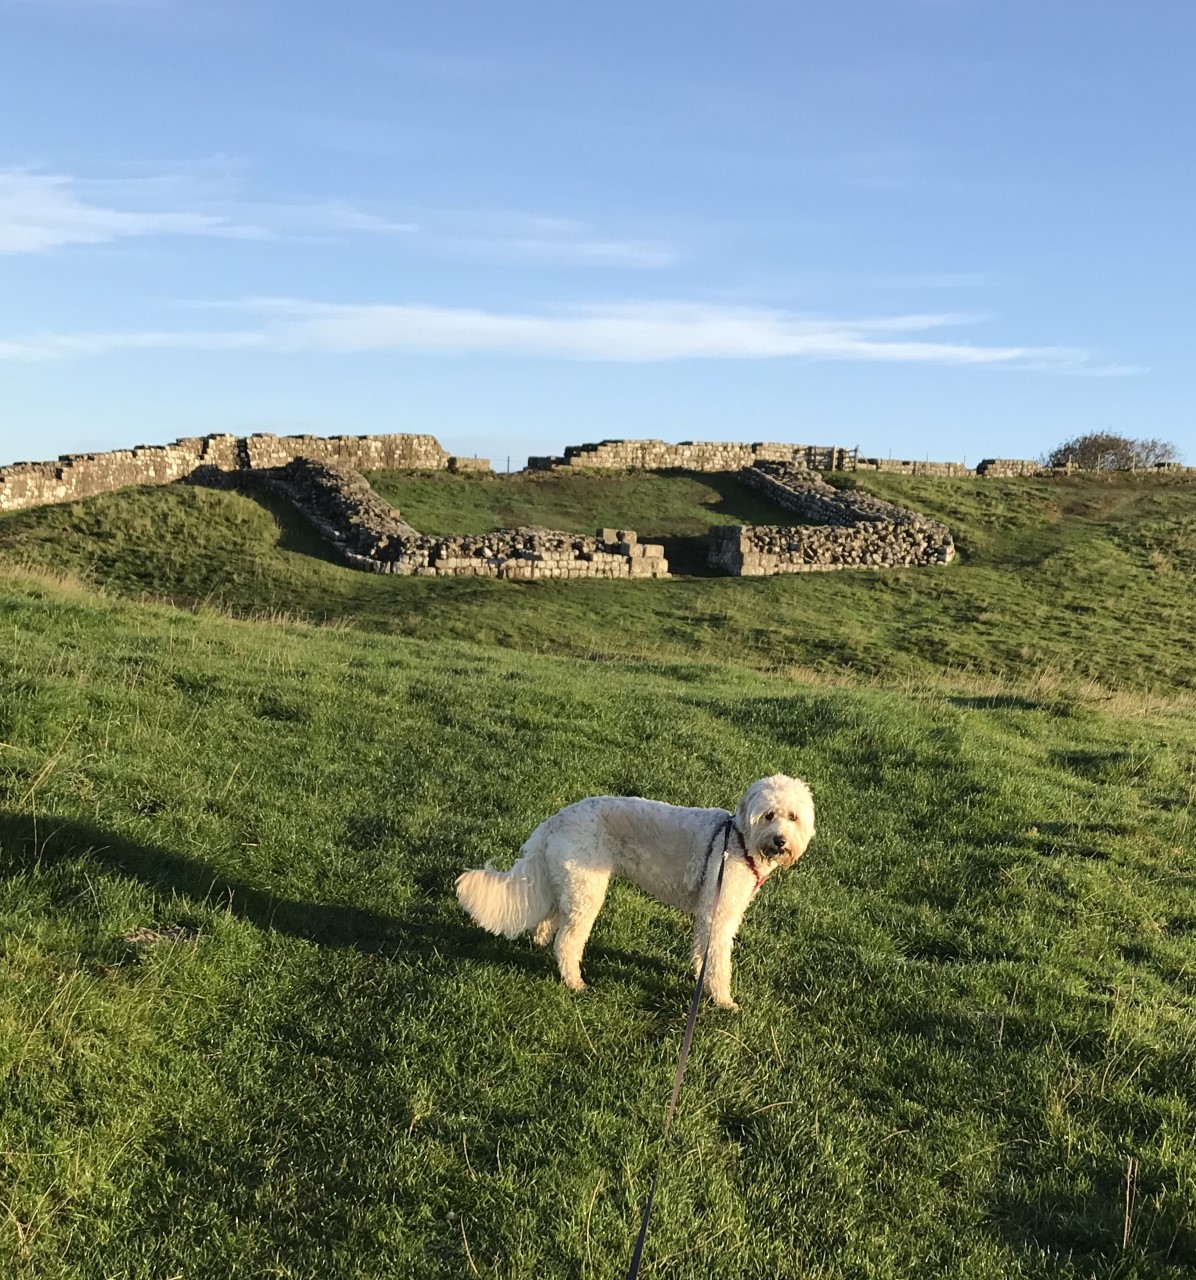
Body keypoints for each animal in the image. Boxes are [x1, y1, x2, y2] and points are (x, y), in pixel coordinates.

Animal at [455, 768, 814, 1008]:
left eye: (793, 817)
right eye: (768, 815)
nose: (780, 841)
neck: (739, 840)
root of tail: (555, 819)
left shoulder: (708, 911)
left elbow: (703, 950)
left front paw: (699, 976)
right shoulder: (720, 912)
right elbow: (719, 960)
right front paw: (723, 1000)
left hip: (570, 883)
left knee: (550, 921)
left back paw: (542, 946)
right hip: (587, 891)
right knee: (567, 942)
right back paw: (575, 983)